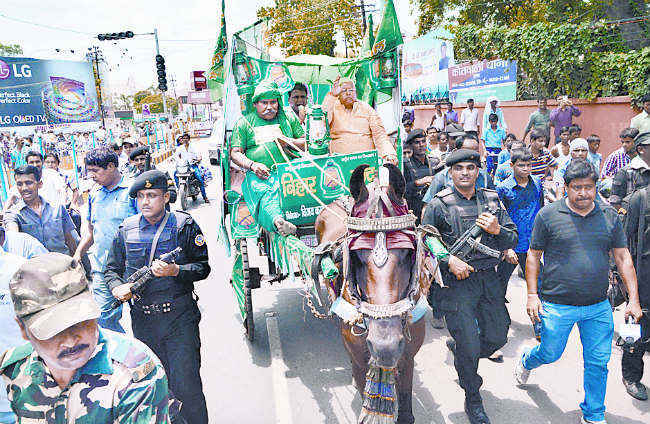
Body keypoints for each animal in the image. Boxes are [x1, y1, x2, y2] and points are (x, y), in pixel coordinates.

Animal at [314, 164, 429, 424]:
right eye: (355, 256)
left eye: (408, 253)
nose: (384, 347)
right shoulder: (360, 362)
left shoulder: (408, 359)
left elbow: (405, 409)